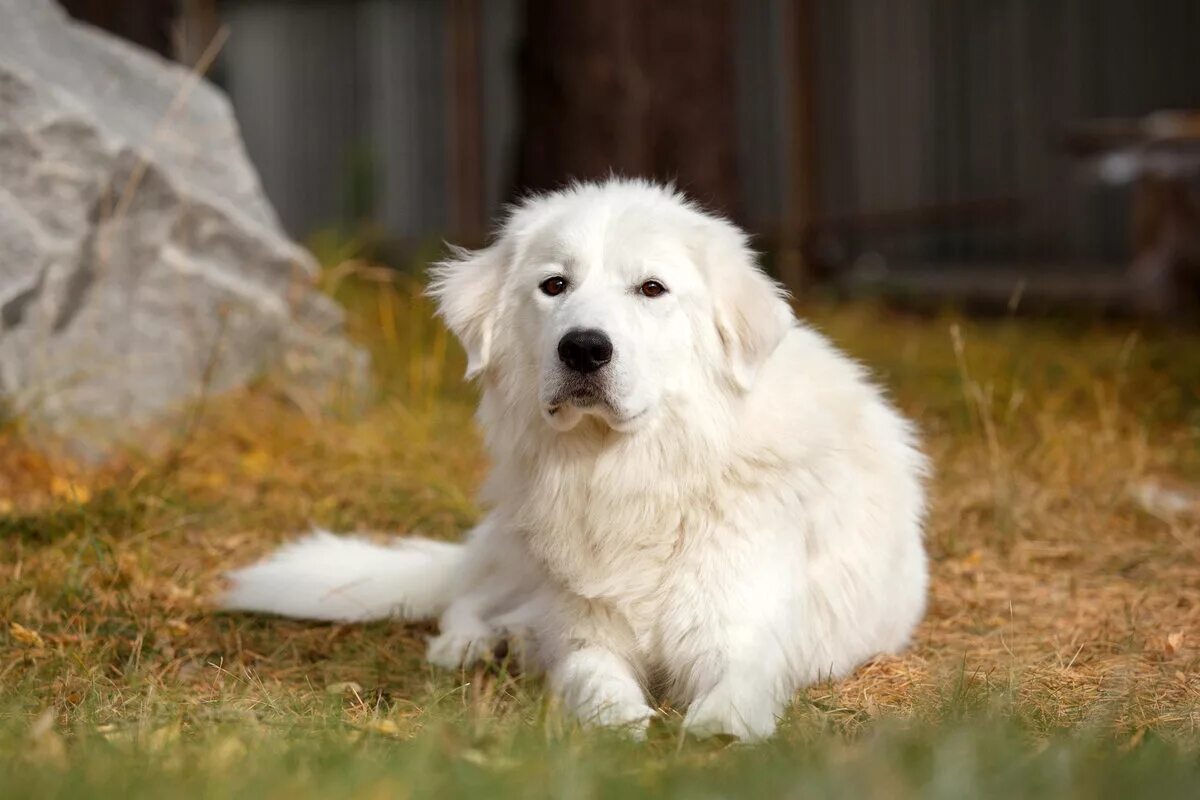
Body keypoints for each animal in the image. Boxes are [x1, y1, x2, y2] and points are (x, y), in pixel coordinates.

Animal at [226, 178, 936, 743]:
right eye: (554, 285)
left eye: (651, 288)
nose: (585, 349)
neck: (628, 471)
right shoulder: (586, 633)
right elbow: (593, 681)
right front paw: (619, 726)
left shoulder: (740, 633)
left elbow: (734, 694)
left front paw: (714, 733)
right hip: (516, 551)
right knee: (467, 598)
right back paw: (471, 645)